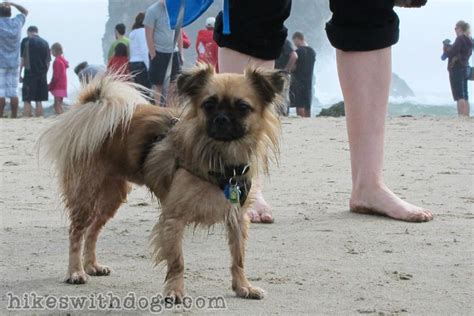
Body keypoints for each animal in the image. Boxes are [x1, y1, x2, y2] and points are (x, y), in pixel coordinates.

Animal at [39, 63, 286, 302]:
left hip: (112, 198)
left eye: (243, 107)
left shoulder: (237, 218)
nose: (221, 119)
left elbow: (238, 258)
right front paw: (175, 292)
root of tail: (91, 107)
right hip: (86, 195)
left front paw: (243, 287)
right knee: (77, 232)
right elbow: (177, 261)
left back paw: (92, 266)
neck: (220, 156)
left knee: (93, 230)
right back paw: (76, 271)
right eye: (208, 105)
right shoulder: (173, 219)